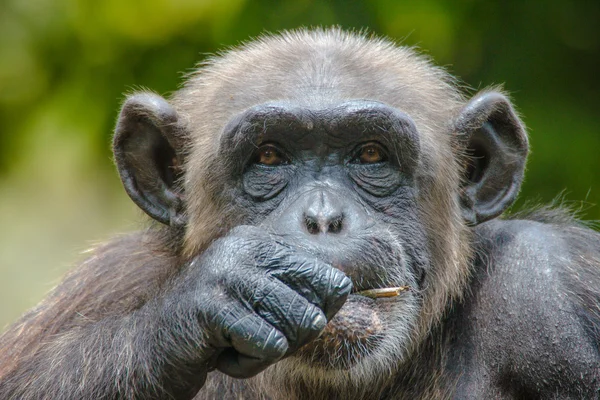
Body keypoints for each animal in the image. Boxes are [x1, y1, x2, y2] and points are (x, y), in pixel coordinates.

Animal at [1, 28, 600, 400]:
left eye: (371, 155)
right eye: (269, 157)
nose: (322, 219)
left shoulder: (549, 284)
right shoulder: (108, 279)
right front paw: (218, 293)